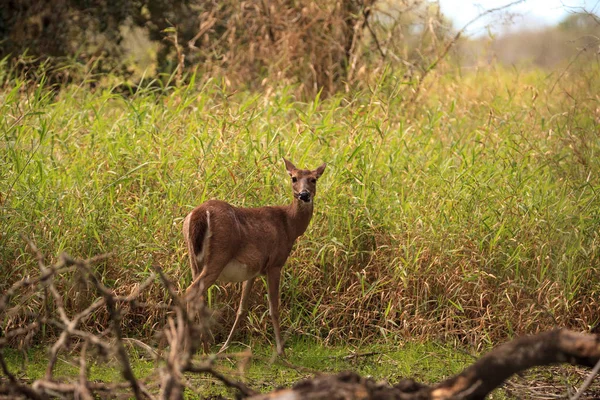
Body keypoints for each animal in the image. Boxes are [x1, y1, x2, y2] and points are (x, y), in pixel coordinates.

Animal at [183, 158, 326, 354]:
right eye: (294, 178)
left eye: (313, 179)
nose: (304, 195)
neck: (290, 226)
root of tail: (198, 214)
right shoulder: (275, 264)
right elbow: (274, 308)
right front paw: (281, 350)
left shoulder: (252, 270)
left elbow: (242, 308)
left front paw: (225, 346)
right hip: (219, 255)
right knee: (191, 291)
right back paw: (191, 348)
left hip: (193, 258)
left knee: (198, 295)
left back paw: (203, 347)